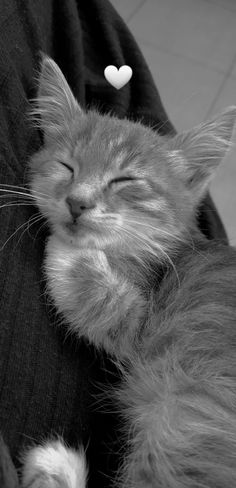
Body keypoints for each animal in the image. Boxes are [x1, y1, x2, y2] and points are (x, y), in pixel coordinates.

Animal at [21, 55, 236, 486]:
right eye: (66, 166)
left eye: (125, 180)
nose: (77, 202)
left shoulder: (150, 328)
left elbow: (106, 302)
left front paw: (69, 249)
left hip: (196, 413)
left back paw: (56, 468)